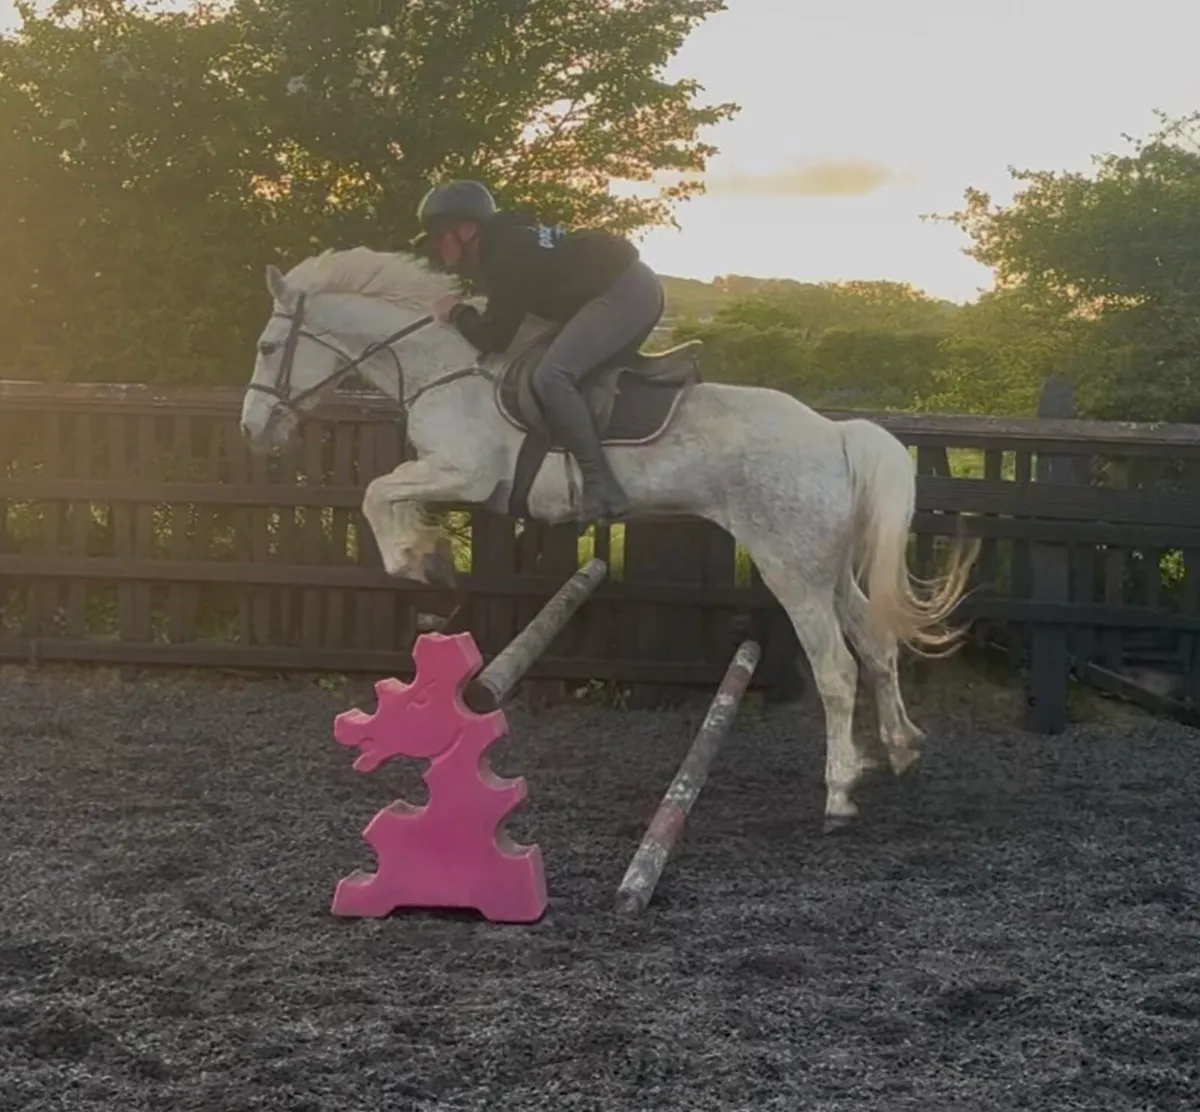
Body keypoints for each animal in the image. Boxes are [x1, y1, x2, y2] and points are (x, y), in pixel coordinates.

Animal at [238, 246, 978, 830]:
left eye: (268, 349)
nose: (253, 430)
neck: (440, 364)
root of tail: (835, 433)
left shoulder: (465, 472)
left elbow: (376, 491)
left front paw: (416, 558)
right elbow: (387, 493)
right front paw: (431, 556)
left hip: (792, 572)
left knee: (836, 671)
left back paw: (839, 794)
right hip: (831, 569)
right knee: (877, 645)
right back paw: (901, 747)